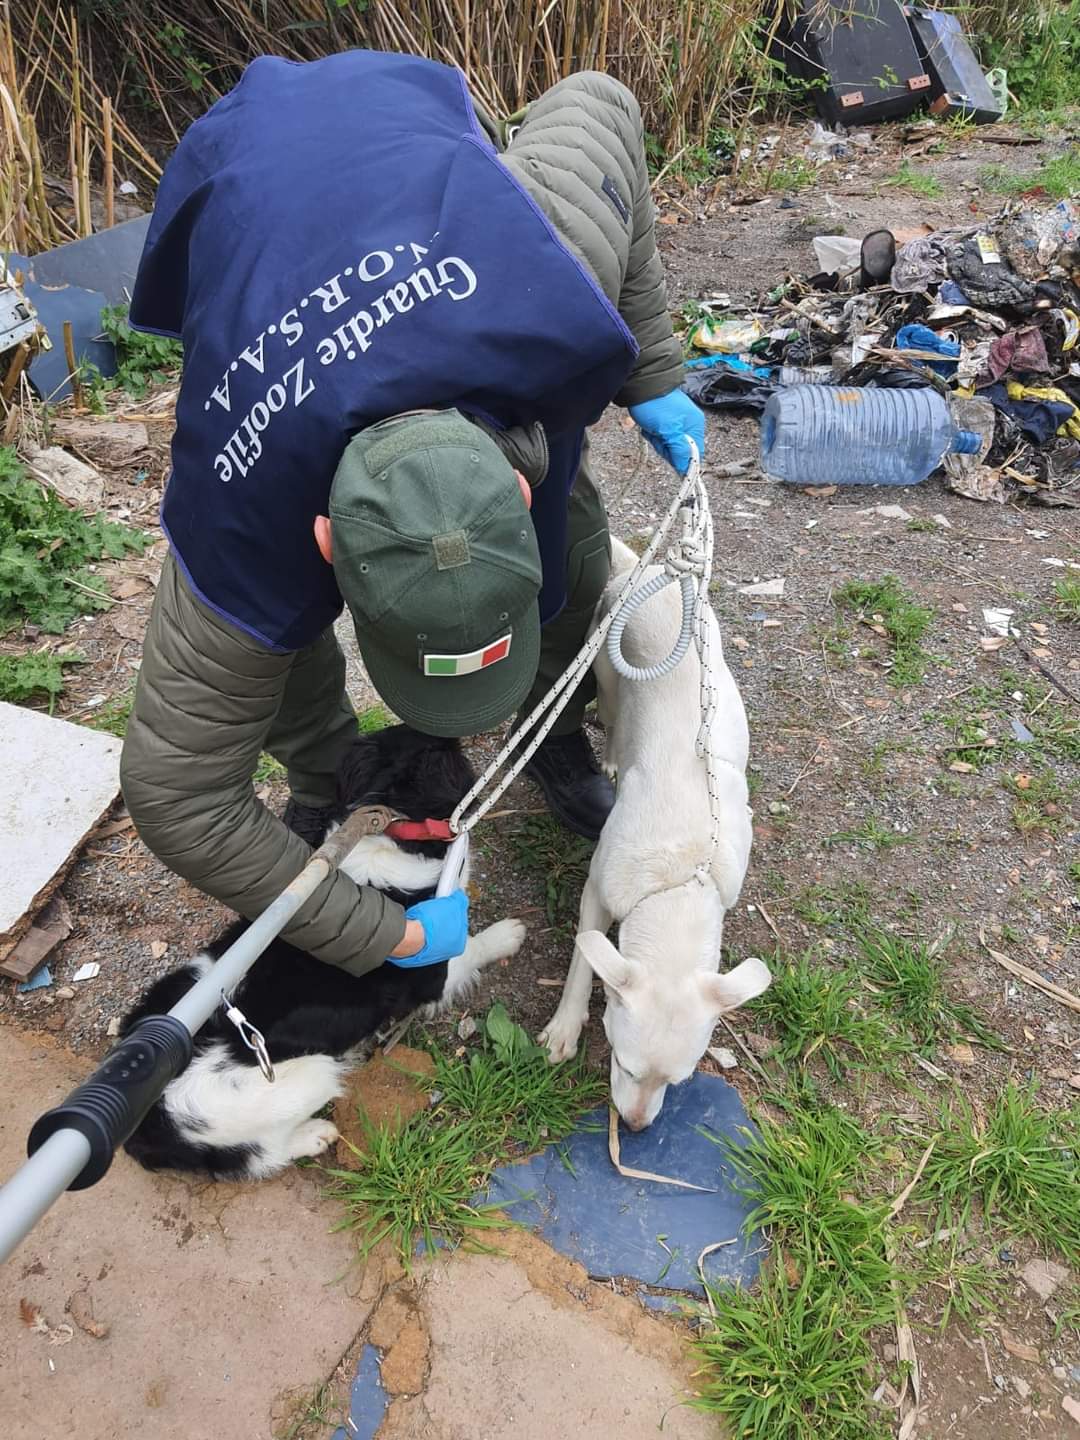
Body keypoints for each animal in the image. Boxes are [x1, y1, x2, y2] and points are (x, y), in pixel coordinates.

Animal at [120, 725, 527, 1186]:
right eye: (449, 753)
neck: (387, 834)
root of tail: (151, 1119)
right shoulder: (432, 969)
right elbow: (471, 948)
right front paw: (508, 934)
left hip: (190, 979)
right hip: (304, 1077)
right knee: (266, 1154)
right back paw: (315, 1135)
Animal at [541, 538, 771, 1123]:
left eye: (680, 1080)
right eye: (622, 1063)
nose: (635, 1125)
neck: (678, 884)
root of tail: (654, 573)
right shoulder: (597, 892)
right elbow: (582, 962)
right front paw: (564, 1026)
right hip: (607, 675)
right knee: (614, 721)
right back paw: (612, 764)